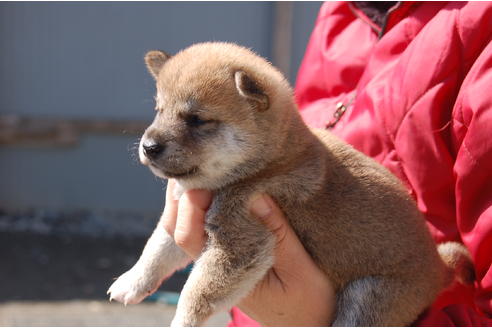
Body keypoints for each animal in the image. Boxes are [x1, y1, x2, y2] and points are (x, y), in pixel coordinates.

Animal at [107, 42, 472, 326]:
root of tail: (438, 267)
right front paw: (132, 281)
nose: (148, 146)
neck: (269, 161)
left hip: (370, 295)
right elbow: (156, 250)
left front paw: (181, 321)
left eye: (197, 120)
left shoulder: (239, 240)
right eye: (159, 110)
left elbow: (196, 294)